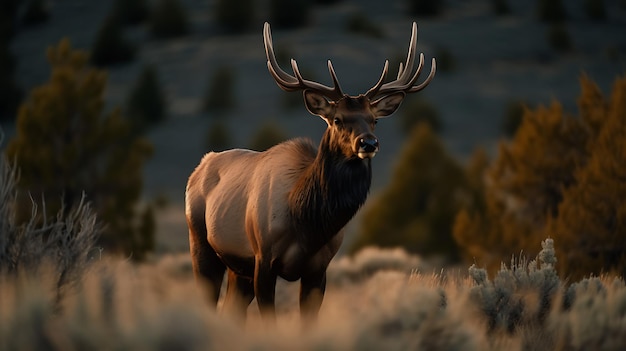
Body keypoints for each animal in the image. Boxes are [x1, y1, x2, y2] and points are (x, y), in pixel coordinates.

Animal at [185, 22, 434, 324]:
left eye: (374, 120)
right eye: (338, 119)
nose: (368, 143)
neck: (306, 224)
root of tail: (198, 169)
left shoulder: (318, 269)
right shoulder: (263, 259)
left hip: (237, 268)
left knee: (231, 310)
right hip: (201, 244)